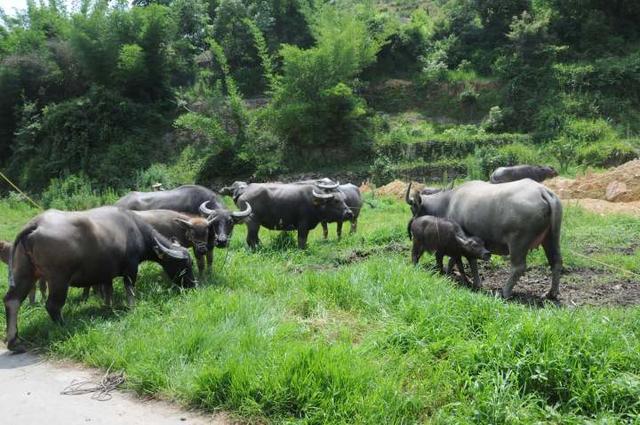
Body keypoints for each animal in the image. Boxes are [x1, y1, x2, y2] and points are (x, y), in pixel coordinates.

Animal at [4, 206, 195, 352]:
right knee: (52, 305)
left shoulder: (106, 274)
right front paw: (132, 308)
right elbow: (130, 290)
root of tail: (36, 224)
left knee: (12, 300)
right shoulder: (131, 268)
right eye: (185, 264)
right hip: (59, 279)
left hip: (26, 273)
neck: (136, 230)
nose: (193, 285)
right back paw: (64, 327)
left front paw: (107, 307)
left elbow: (108, 291)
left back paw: (14, 342)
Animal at [408, 179, 564, 298]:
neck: (448, 202)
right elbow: (459, 259)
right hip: (551, 237)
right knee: (556, 262)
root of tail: (542, 191)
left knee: (518, 267)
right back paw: (551, 293)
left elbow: (467, 260)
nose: (413, 224)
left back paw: (505, 292)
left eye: (413, 208)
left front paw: (475, 283)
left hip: (518, 242)